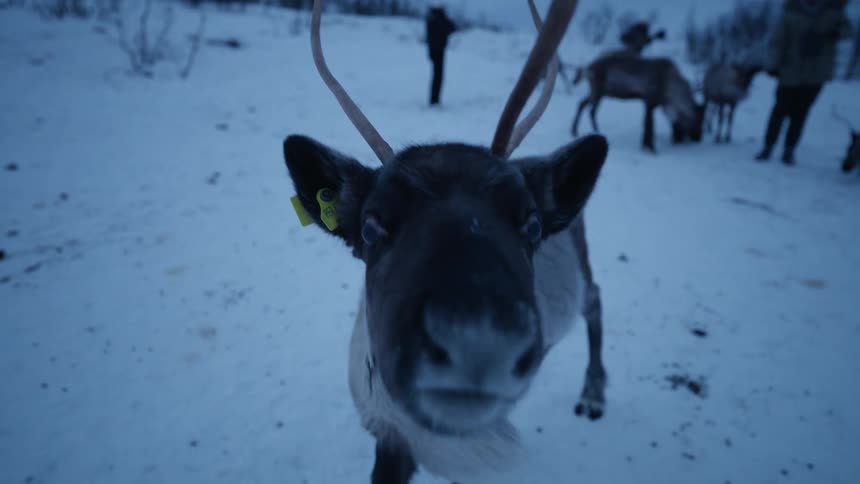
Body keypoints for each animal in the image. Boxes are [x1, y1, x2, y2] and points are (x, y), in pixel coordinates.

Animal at [282, 1, 610, 483]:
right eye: (370, 226)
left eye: (531, 224)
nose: (478, 343)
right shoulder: (390, 434)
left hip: (581, 269)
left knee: (596, 299)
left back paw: (593, 394)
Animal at [570, 50, 705, 153]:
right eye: (698, 120)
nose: (698, 138)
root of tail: (587, 67)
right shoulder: (650, 101)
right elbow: (649, 124)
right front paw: (651, 148)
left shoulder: (652, 103)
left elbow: (646, 123)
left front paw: (645, 145)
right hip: (598, 90)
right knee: (591, 110)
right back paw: (596, 131)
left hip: (600, 92)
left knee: (581, 104)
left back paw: (574, 130)